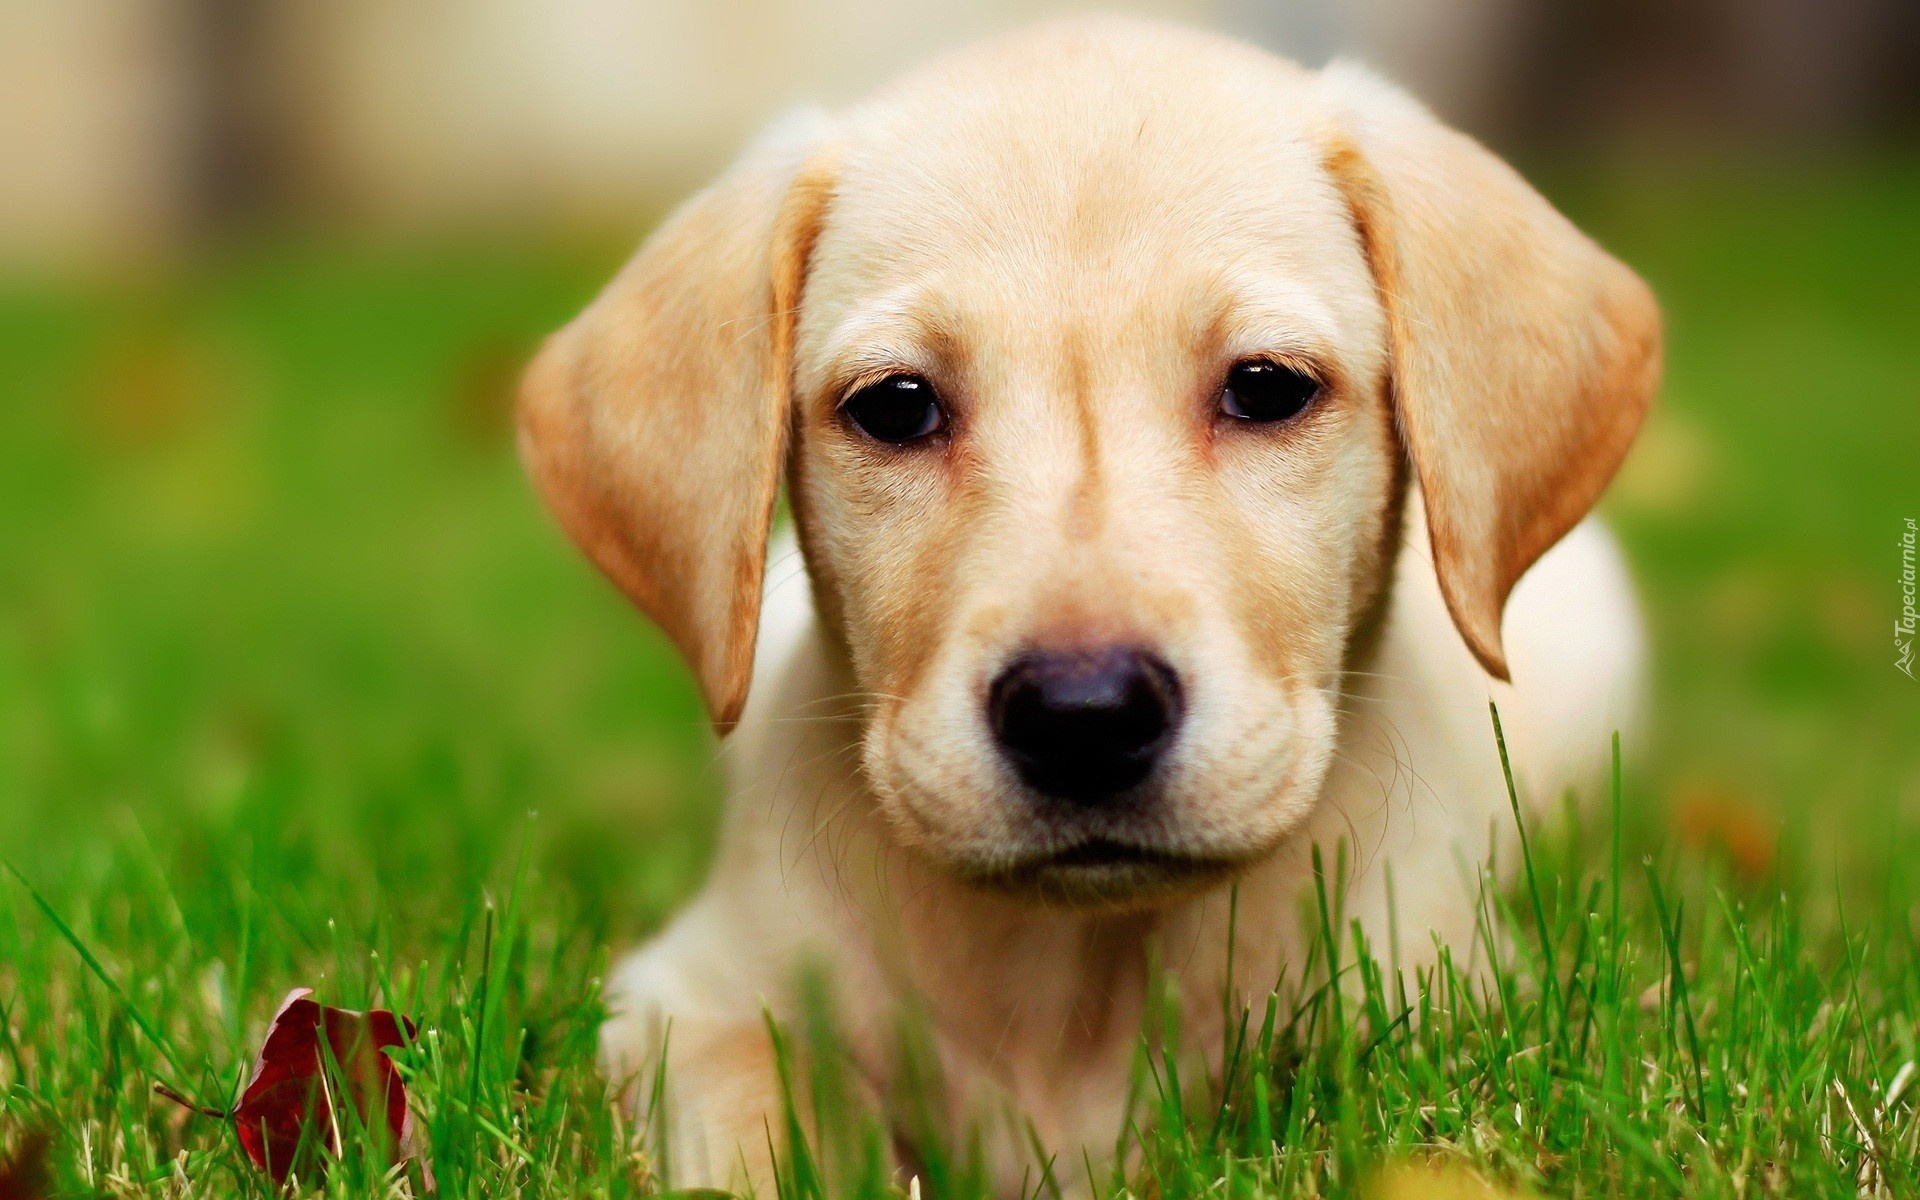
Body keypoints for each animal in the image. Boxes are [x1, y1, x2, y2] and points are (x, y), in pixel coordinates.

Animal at [518, 14, 1658, 1190]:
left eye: (1267, 388)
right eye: (896, 406)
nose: (1083, 718)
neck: (1073, 972)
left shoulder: (1443, 990)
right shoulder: (680, 1000)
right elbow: (767, 1102)